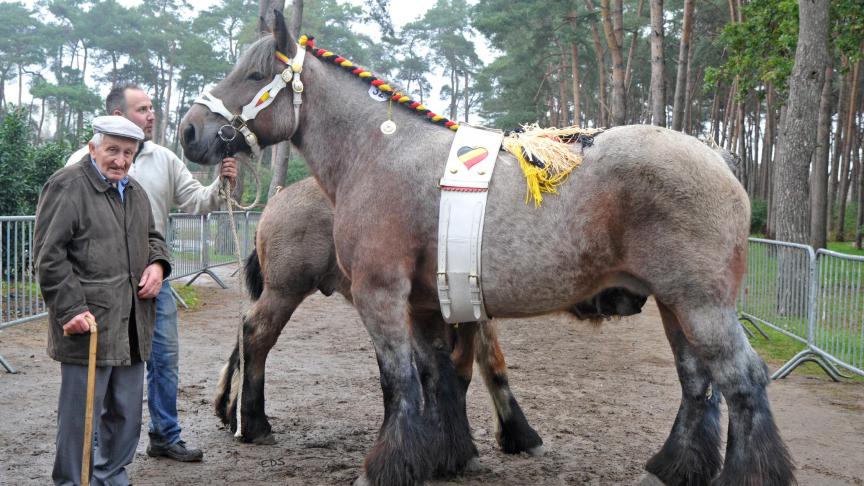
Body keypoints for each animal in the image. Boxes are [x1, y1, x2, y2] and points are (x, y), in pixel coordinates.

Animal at [213, 177, 544, 458]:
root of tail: (280, 198)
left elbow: (489, 363)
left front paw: (518, 434)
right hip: (285, 292)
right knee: (256, 335)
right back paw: (254, 423)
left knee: (243, 337)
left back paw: (231, 413)